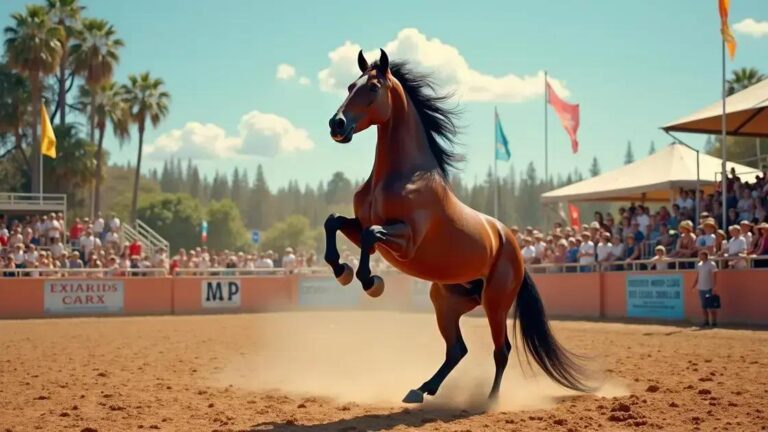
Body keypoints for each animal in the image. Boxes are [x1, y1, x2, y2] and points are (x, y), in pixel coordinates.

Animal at [323, 49, 592, 404]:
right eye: (350, 85)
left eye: (372, 87)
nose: (336, 124)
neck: (400, 177)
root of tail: (514, 248)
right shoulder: (362, 225)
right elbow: (334, 222)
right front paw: (341, 270)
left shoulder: (407, 241)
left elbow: (370, 236)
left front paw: (370, 281)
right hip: (446, 301)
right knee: (457, 349)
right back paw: (422, 389)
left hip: (495, 303)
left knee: (501, 350)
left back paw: (490, 400)